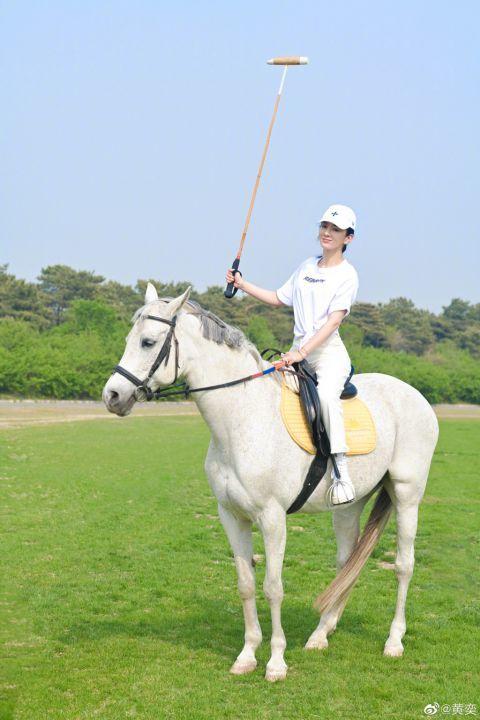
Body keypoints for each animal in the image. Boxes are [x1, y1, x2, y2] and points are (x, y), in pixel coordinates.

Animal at [104, 284, 438, 684]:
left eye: (148, 342)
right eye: (129, 339)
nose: (112, 396)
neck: (242, 417)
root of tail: (416, 395)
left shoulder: (272, 518)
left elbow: (273, 588)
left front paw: (276, 662)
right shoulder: (231, 516)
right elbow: (246, 585)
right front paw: (247, 655)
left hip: (407, 495)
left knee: (404, 565)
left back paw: (393, 641)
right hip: (348, 506)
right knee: (348, 561)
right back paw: (321, 633)